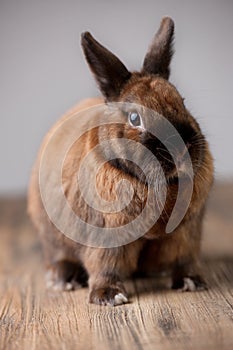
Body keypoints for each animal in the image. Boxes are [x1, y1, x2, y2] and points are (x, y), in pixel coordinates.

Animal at [27, 17, 213, 304]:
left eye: (182, 102)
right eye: (135, 118)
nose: (182, 149)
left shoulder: (184, 235)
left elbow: (183, 259)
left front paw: (191, 282)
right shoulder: (105, 236)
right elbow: (105, 266)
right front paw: (109, 296)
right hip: (52, 237)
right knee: (59, 257)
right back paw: (63, 280)